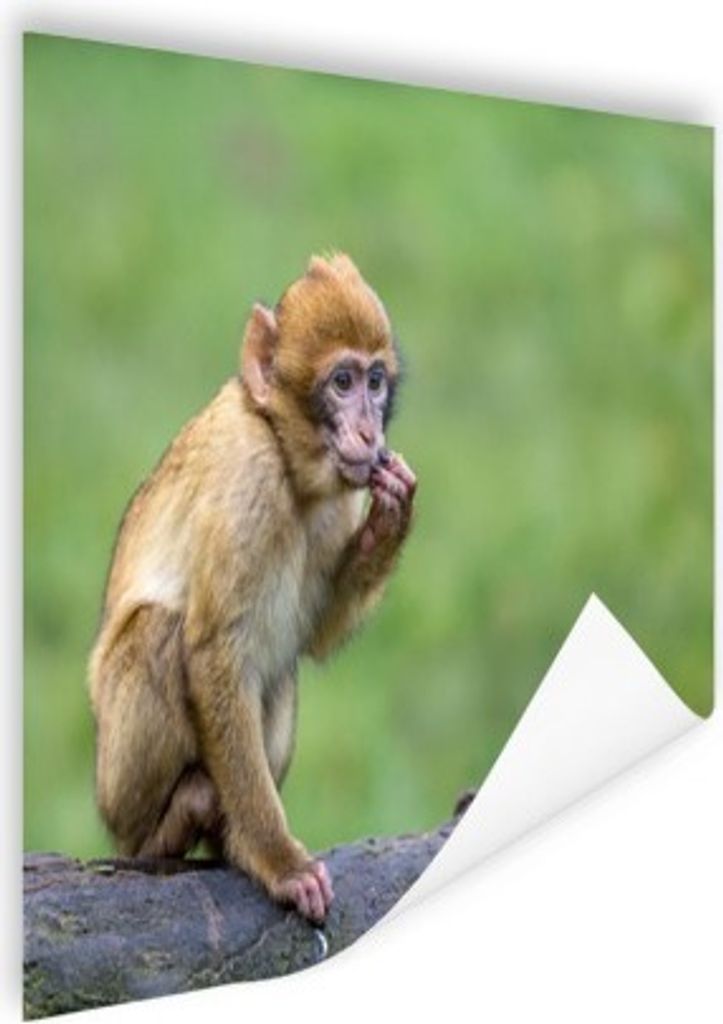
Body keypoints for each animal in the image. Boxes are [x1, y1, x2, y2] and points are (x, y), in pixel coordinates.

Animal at [88, 253, 416, 924]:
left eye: (375, 382)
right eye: (342, 383)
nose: (369, 435)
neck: (286, 453)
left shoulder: (339, 498)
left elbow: (314, 638)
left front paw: (391, 518)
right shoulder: (248, 483)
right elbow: (215, 652)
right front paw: (278, 860)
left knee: (282, 665)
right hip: (116, 786)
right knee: (160, 632)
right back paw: (171, 832)